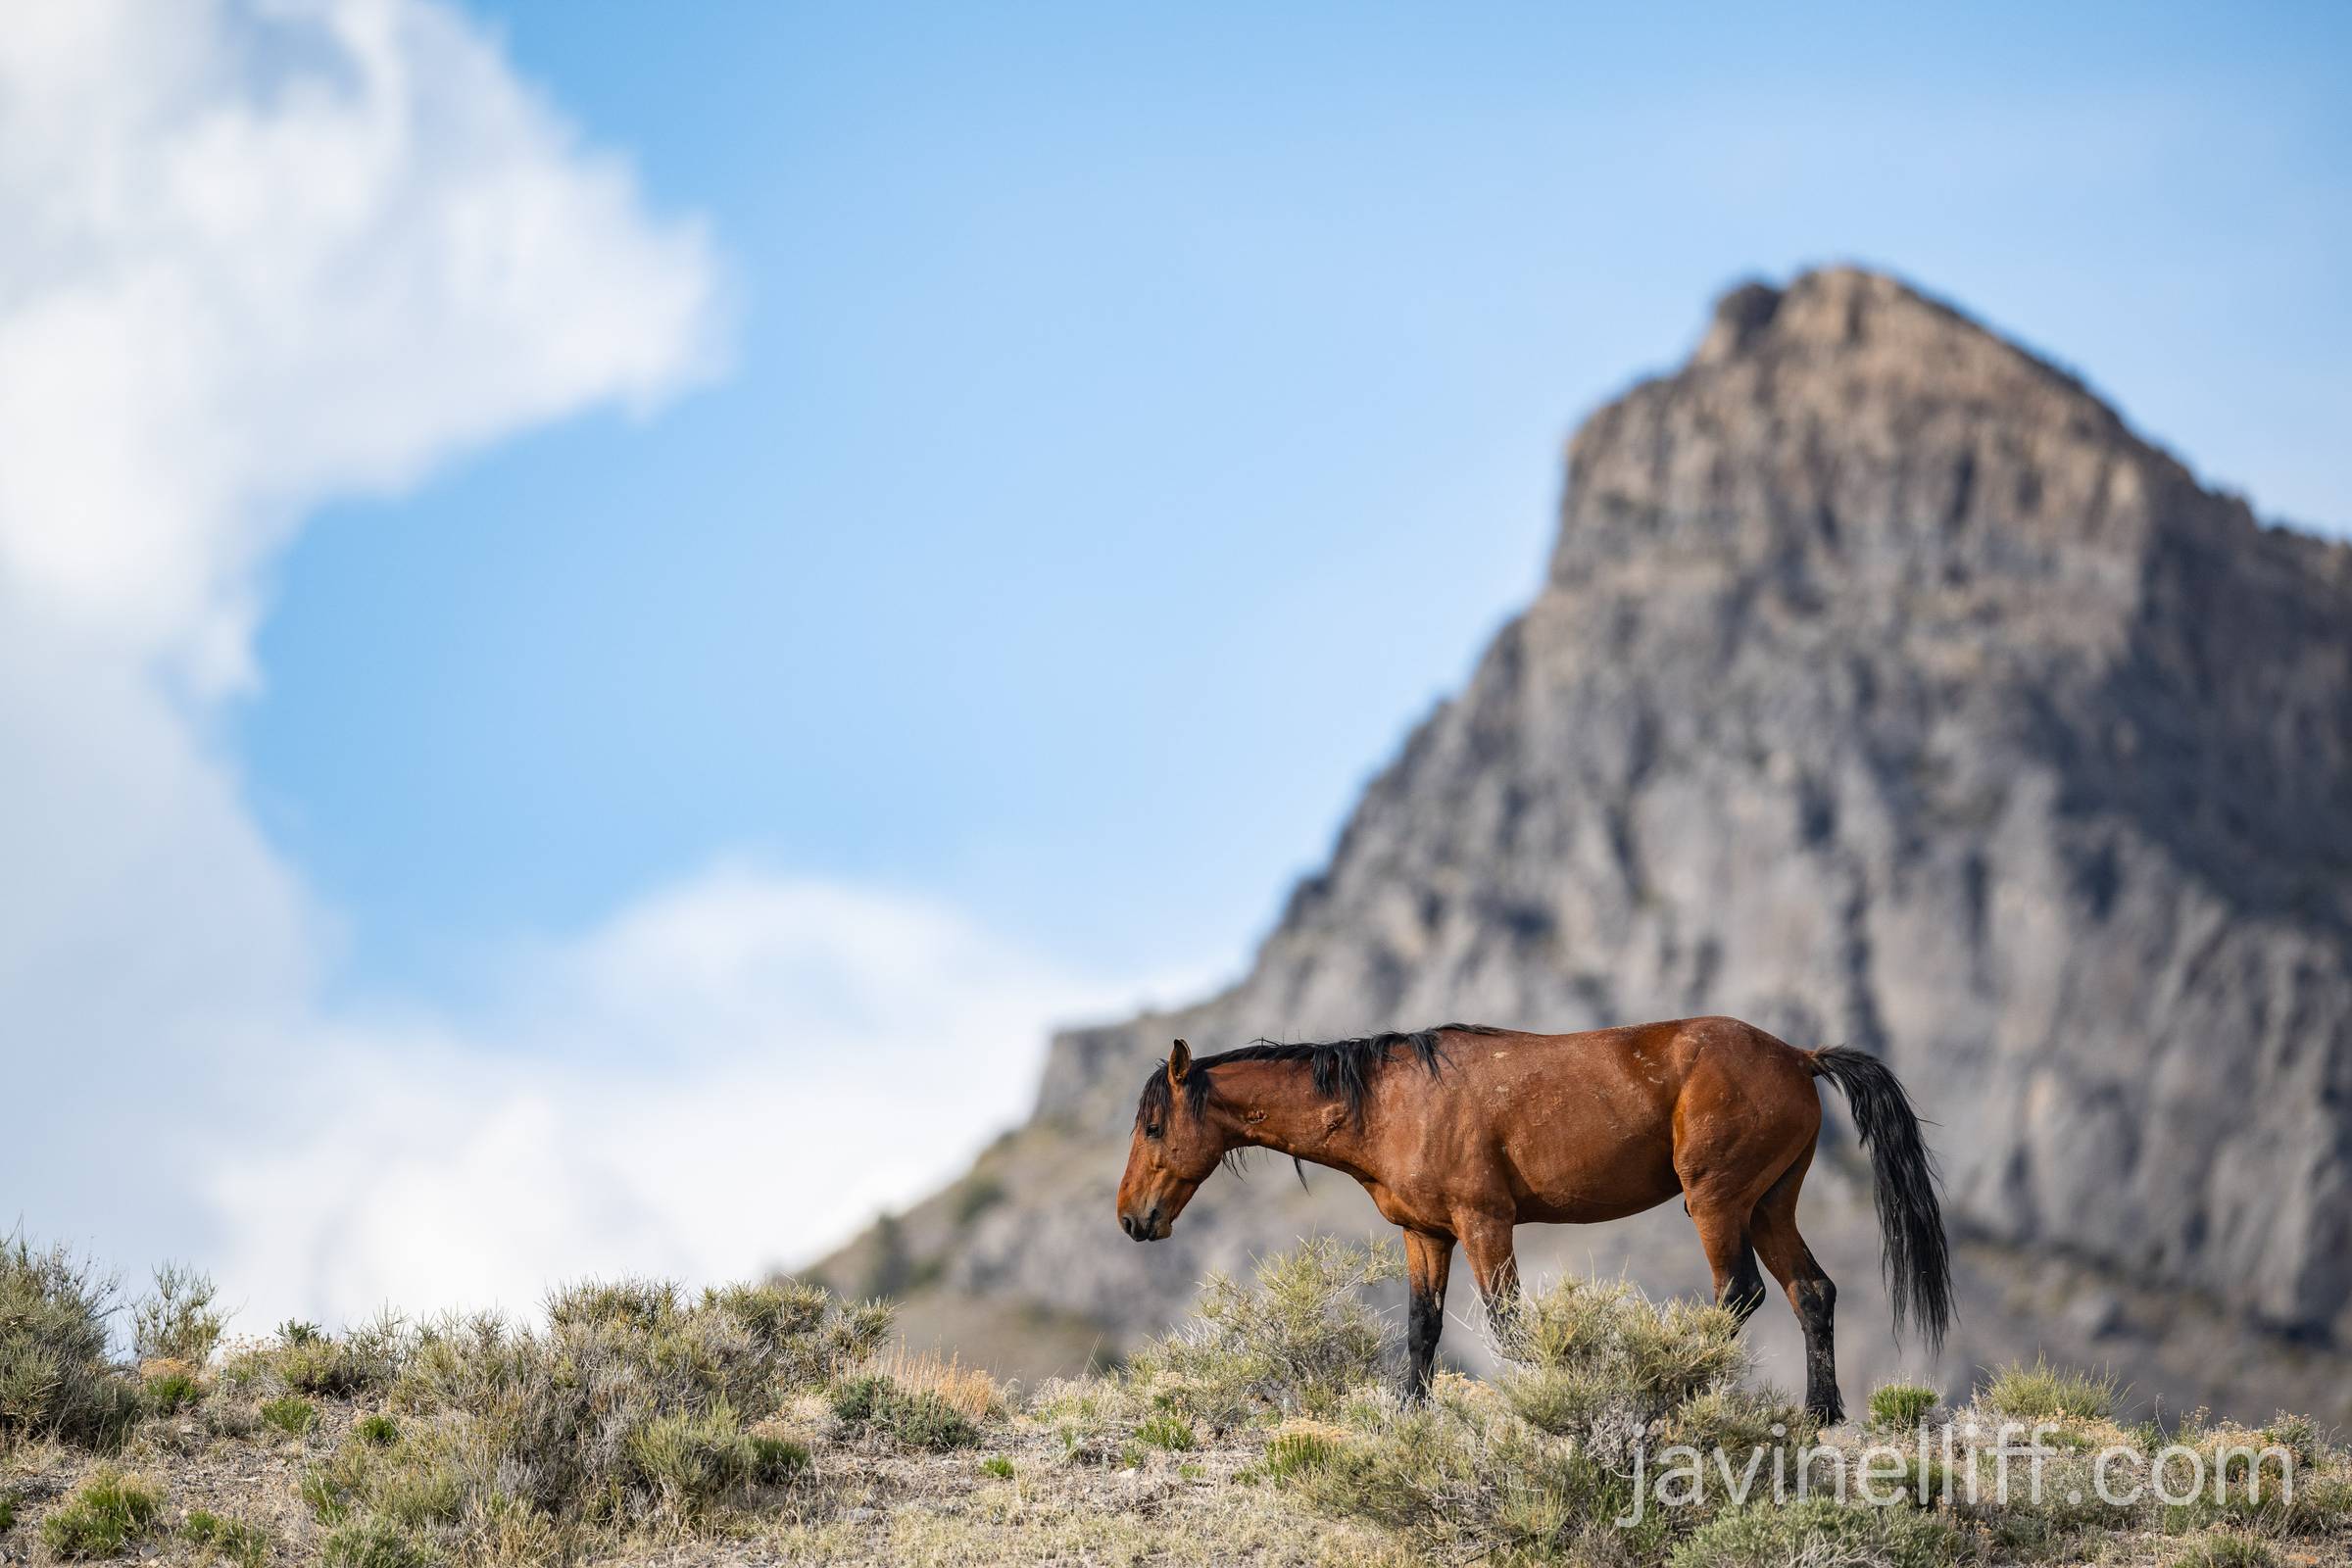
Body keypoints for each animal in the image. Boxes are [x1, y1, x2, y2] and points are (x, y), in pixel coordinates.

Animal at [1114, 1016, 1950, 1421]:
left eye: (1153, 1127)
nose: (1131, 1219)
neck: (1389, 1101)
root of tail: (1798, 1056)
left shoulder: (1486, 1224)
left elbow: (1509, 1326)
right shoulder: (1427, 1235)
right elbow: (1421, 1329)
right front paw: (1410, 1413)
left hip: (1715, 1202)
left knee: (1736, 1296)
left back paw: (1684, 1392)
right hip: (1771, 1203)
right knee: (1812, 1293)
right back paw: (1820, 1416)